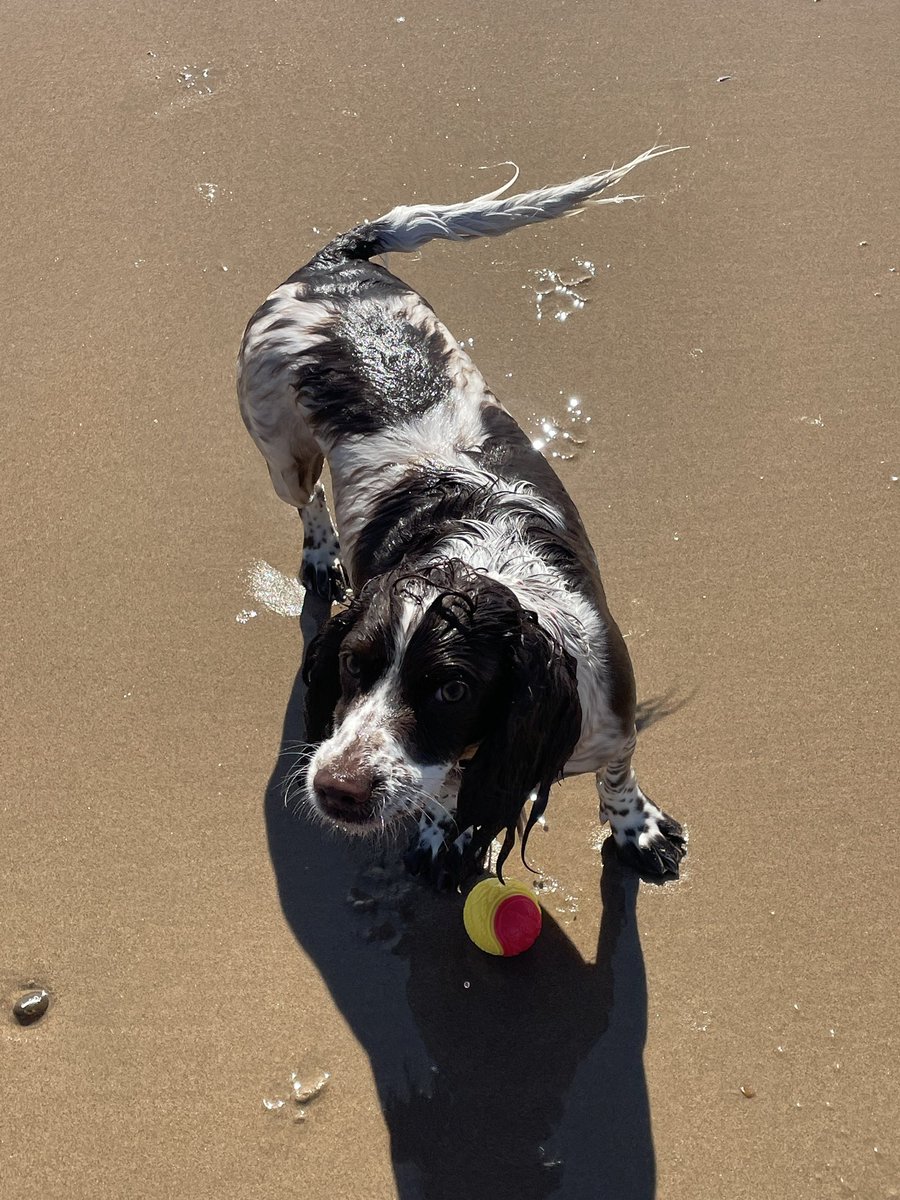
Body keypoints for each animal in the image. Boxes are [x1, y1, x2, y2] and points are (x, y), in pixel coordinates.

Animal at [236, 145, 686, 888]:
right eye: (353, 663)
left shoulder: (611, 720)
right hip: (279, 448)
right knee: (307, 500)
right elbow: (444, 794)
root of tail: (334, 262)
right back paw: (322, 555)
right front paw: (442, 835)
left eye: (452, 688)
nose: (335, 790)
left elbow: (618, 778)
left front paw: (637, 830)